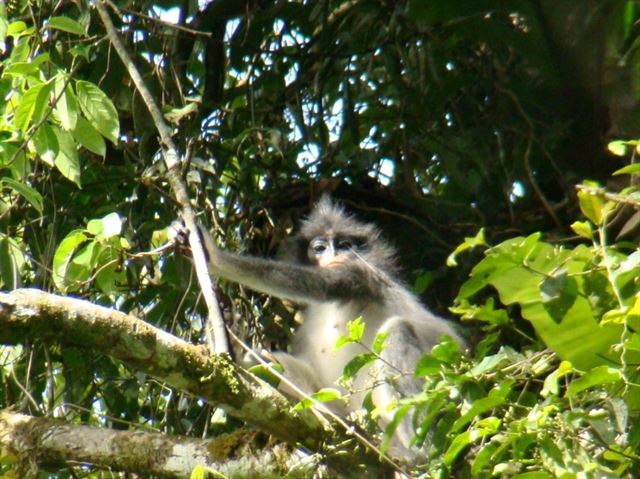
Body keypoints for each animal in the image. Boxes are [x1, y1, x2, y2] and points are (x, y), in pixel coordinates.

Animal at [189, 197, 460, 464]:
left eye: (344, 244)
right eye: (319, 248)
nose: (334, 254)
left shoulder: (363, 274)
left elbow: (324, 285)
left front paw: (214, 257)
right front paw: (228, 339)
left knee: (397, 330)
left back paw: (418, 453)